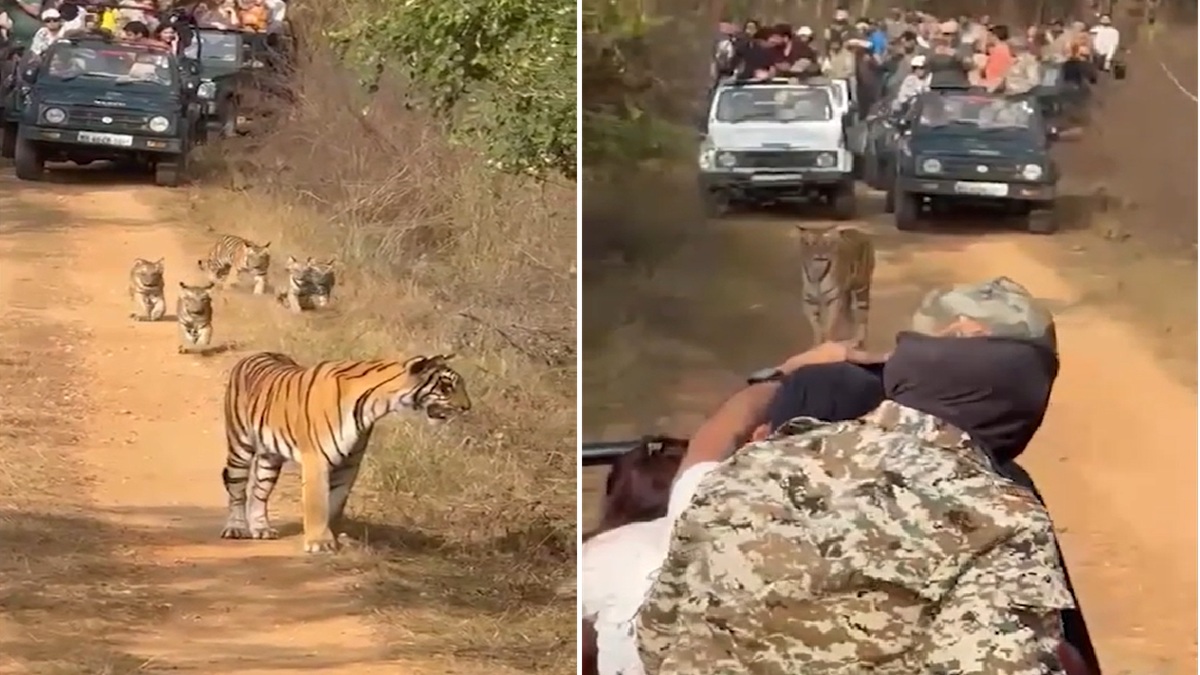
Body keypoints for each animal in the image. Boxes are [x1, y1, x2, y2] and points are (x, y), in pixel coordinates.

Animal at [219, 348, 468, 550]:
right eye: (446, 386)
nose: (467, 407)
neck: (374, 405)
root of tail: (253, 355)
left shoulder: (350, 463)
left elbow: (336, 501)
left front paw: (335, 537)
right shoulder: (316, 458)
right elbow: (318, 501)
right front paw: (320, 542)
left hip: (270, 458)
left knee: (259, 492)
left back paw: (262, 529)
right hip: (240, 447)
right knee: (237, 490)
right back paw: (235, 528)